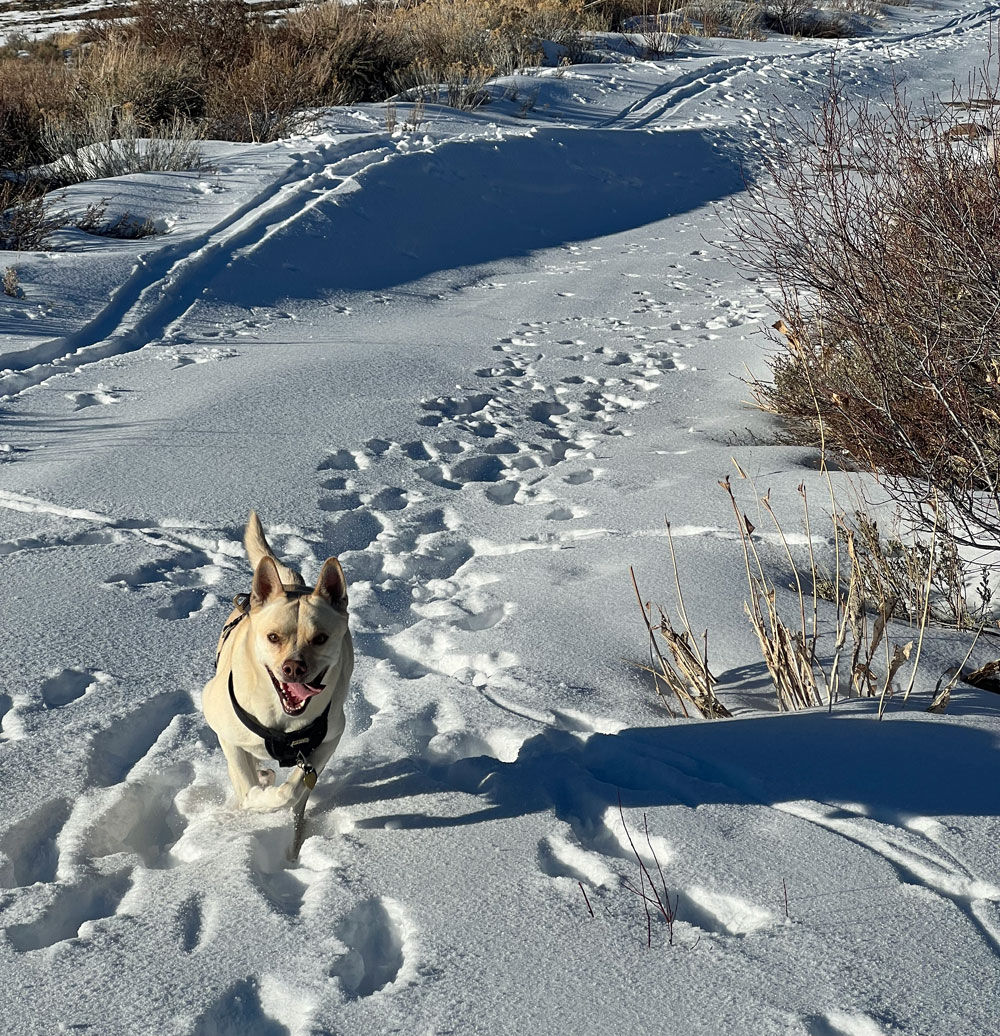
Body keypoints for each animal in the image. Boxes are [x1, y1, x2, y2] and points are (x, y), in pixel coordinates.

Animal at [201, 511, 352, 832]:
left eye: (320, 638)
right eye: (273, 637)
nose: (294, 667)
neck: (282, 719)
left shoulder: (330, 737)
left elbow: (296, 787)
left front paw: (283, 801)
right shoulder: (225, 731)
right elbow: (248, 788)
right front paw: (260, 794)